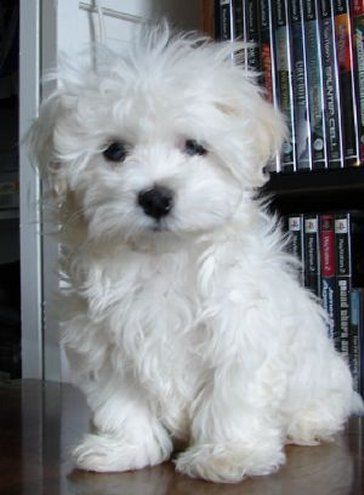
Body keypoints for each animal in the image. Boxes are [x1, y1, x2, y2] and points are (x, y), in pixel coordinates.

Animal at [29, 24, 362, 484]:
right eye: (114, 151)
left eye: (194, 147)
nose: (155, 197)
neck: (161, 256)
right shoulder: (106, 342)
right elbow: (122, 402)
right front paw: (124, 449)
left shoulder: (240, 329)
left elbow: (232, 397)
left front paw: (229, 455)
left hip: (326, 378)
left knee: (328, 405)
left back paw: (307, 424)